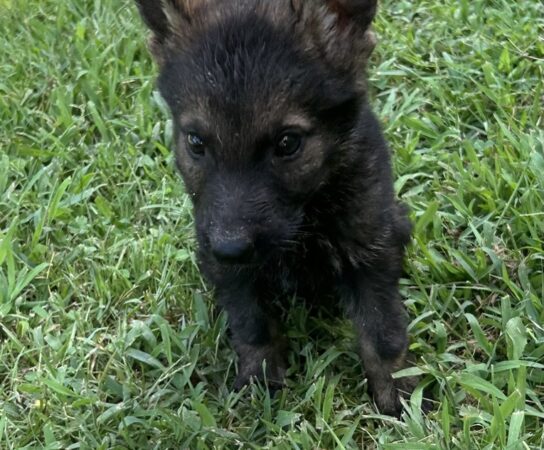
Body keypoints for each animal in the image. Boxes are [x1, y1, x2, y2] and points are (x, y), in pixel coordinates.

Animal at [135, 0, 412, 414]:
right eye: (196, 142)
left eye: (287, 143)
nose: (229, 248)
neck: (306, 217)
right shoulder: (225, 267)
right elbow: (251, 323)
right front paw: (259, 380)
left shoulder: (370, 248)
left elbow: (382, 332)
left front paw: (400, 396)